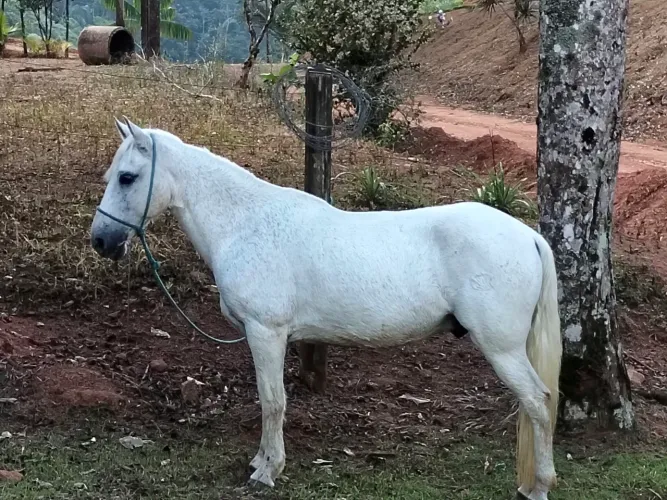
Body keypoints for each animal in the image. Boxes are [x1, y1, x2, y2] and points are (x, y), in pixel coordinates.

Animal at [90, 118, 562, 500]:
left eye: (128, 178)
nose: (100, 241)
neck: (246, 224)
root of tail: (528, 236)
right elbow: (269, 399)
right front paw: (260, 461)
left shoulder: (266, 332)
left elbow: (272, 401)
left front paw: (268, 471)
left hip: (502, 349)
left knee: (538, 402)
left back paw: (538, 486)